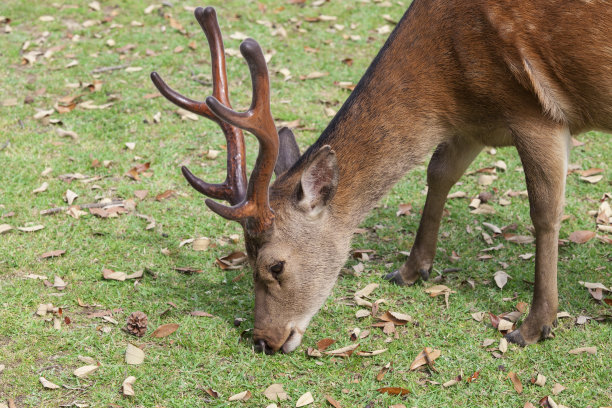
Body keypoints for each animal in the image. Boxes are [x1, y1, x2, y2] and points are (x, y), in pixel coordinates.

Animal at [152, 2, 612, 354]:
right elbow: (438, 172)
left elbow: (545, 212)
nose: (264, 340)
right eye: (244, 260)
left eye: (275, 265)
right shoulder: (473, 124)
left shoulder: (536, 112)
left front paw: (533, 326)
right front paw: (410, 270)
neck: (450, 84)